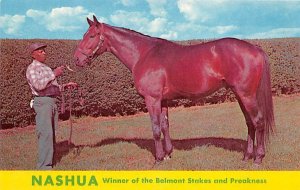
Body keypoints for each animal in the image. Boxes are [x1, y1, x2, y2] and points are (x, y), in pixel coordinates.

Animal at [74, 15, 274, 164]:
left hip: (247, 95)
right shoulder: (163, 100)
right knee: (250, 123)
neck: (143, 54)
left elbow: (155, 128)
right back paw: (247, 156)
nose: (76, 59)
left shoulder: (152, 99)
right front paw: (169, 154)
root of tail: (255, 49)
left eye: (91, 36)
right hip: (241, 95)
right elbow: (165, 125)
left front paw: (158, 159)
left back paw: (258, 158)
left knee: (258, 121)